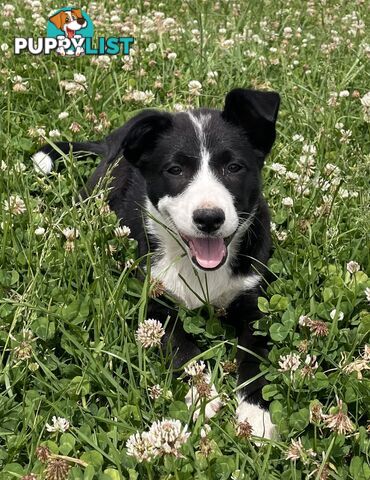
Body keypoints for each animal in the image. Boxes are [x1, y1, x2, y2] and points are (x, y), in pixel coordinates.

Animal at [32, 88, 280, 440]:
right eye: (174, 170)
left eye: (234, 167)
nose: (209, 218)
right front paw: (204, 394)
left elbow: (256, 356)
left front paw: (255, 414)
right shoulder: (151, 302)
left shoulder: (253, 299)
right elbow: (181, 347)